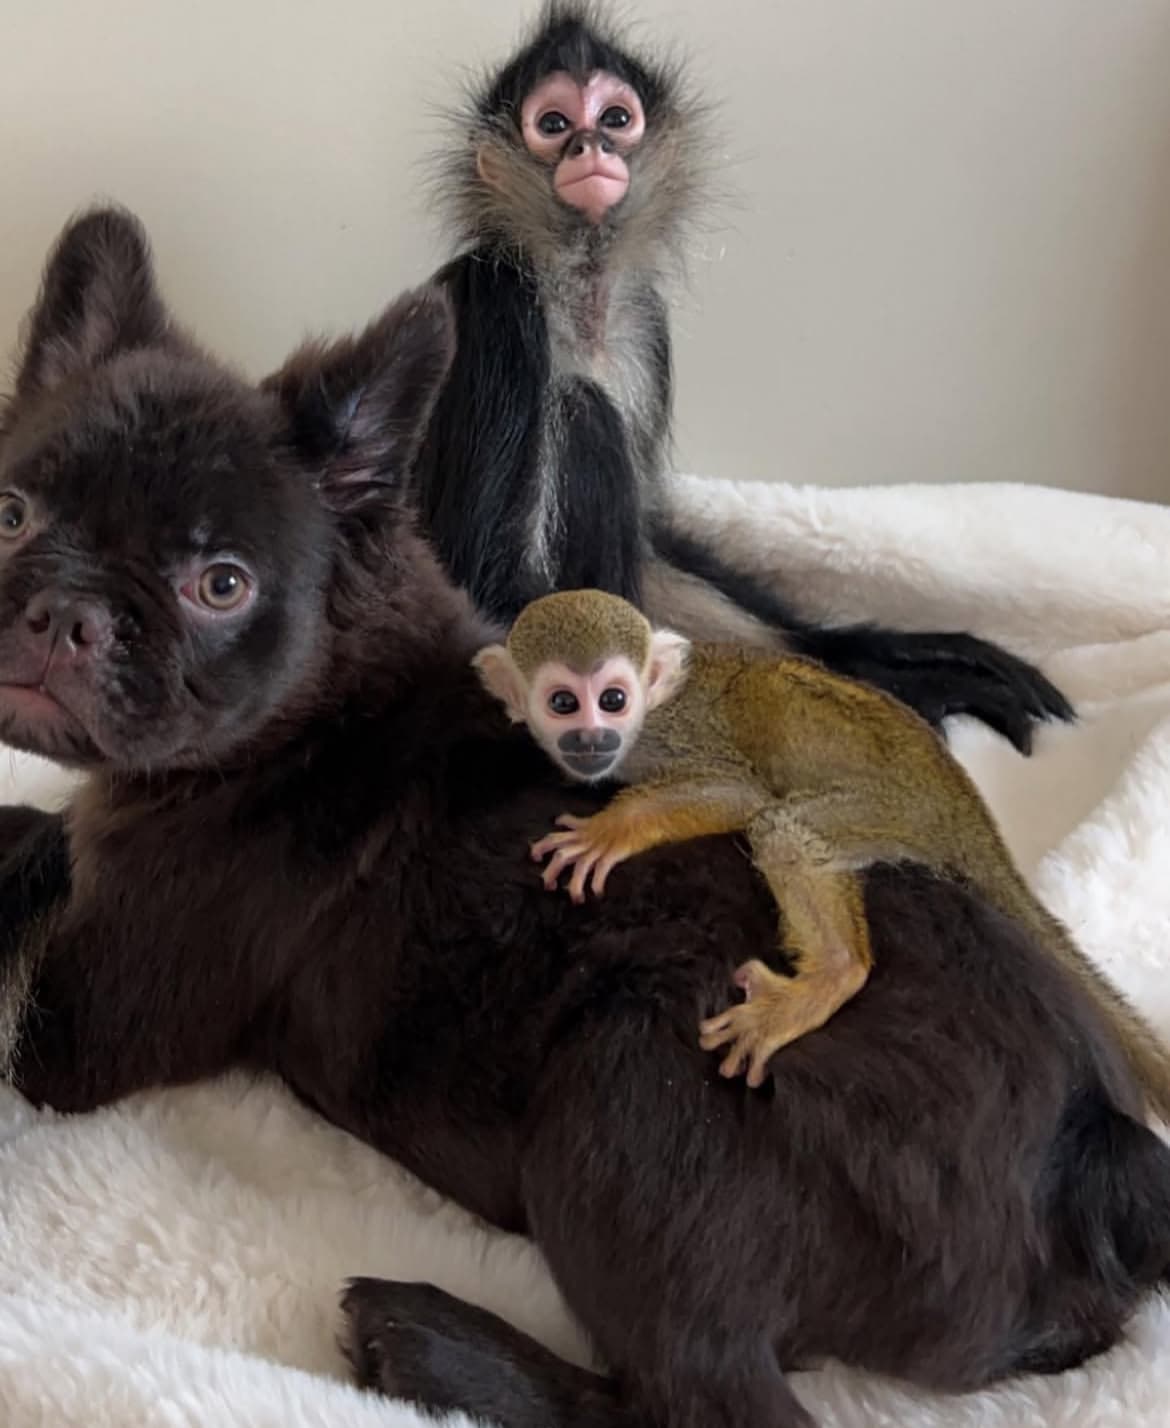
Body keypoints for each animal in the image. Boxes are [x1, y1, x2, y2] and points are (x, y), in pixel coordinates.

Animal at [413, 0, 1073, 755]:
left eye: (615, 117)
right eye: (552, 124)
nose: (588, 147)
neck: (575, 296)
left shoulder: (646, 323)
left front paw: (867, 655)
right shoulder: (498, 304)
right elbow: (489, 599)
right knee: (583, 414)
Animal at [473, 588, 1170, 1109]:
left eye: (613, 699)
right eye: (564, 703)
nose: (592, 738)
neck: (648, 713)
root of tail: (961, 799)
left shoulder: (671, 736)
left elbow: (738, 794)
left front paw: (609, 830)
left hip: (888, 805)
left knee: (785, 829)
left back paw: (835, 971)